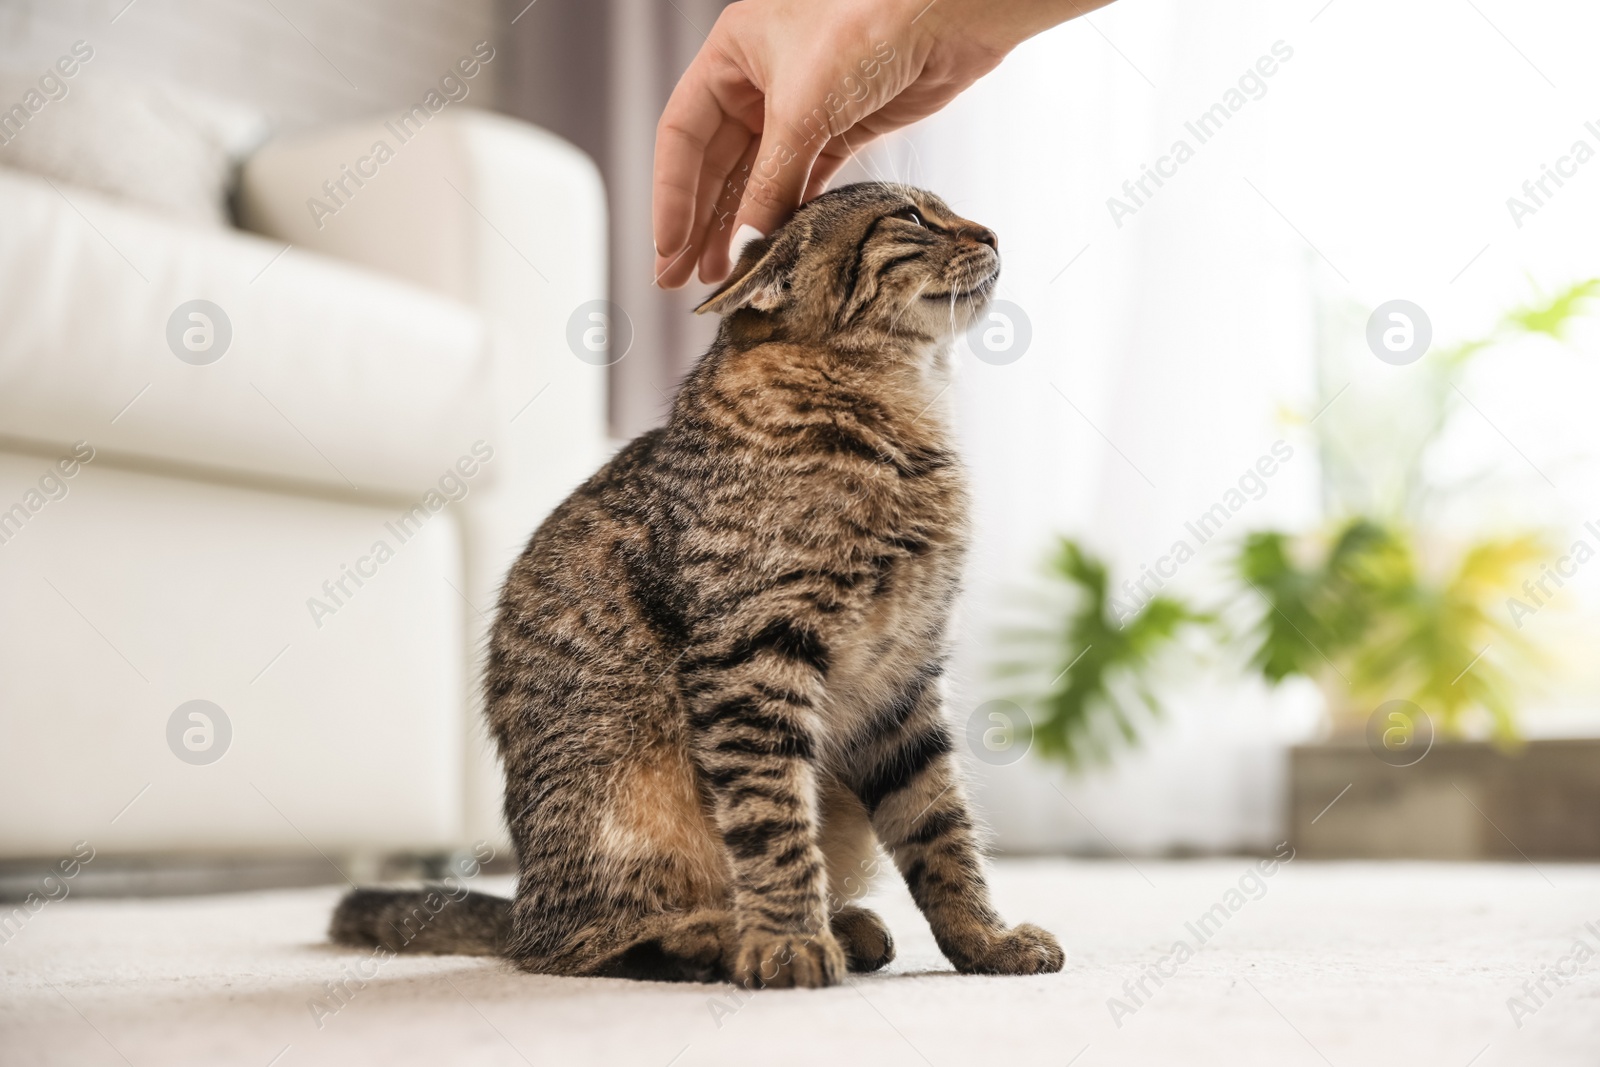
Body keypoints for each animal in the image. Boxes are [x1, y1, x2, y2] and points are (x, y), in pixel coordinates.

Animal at [329, 179, 1062, 991]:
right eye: (908, 217)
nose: (989, 232)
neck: (907, 424)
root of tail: (522, 902)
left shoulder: (905, 680)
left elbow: (942, 831)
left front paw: (985, 941)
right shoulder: (752, 653)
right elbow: (775, 824)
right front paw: (788, 942)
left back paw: (844, 924)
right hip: (622, 812)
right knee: (582, 945)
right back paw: (720, 938)